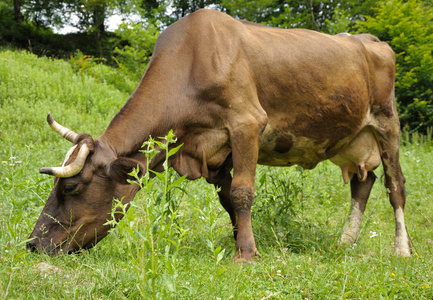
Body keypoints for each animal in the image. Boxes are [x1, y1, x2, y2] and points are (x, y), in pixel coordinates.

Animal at [27, 8, 412, 260]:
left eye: (71, 188)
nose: (31, 244)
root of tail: (373, 40)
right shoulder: (209, 149)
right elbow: (228, 198)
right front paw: (241, 240)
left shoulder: (246, 124)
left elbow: (243, 193)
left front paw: (246, 253)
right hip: (350, 139)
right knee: (363, 182)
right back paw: (346, 242)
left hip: (388, 124)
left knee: (395, 186)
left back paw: (402, 249)